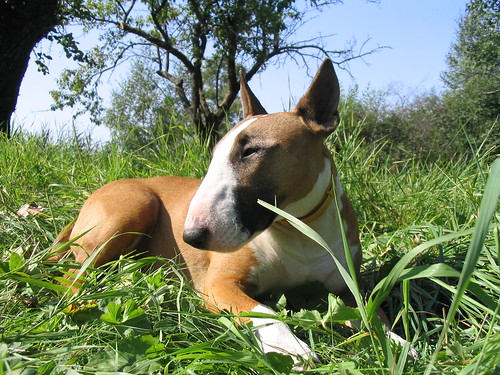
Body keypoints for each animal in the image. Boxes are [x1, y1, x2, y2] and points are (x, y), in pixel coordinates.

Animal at [50, 60, 410, 368]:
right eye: (215, 155)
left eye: (251, 150)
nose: (191, 237)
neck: (297, 228)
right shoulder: (219, 283)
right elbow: (263, 310)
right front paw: (290, 348)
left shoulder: (347, 286)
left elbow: (370, 312)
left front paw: (392, 343)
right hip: (133, 207)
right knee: (72, 276)